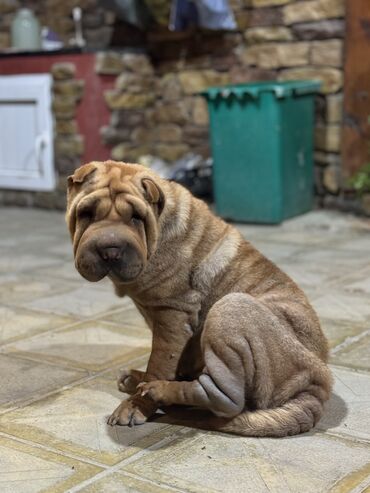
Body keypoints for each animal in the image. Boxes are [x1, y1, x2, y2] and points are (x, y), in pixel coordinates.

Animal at [66, 160, 332, 436]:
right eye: (86, 213)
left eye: (136, 217)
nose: (110, 250)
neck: (159, 228)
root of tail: (316, 388)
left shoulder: (172, 315)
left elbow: (159, 362)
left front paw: (135, 406)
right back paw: (137, 380)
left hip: (231, 308)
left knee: (222, 396)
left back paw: (157, 390)